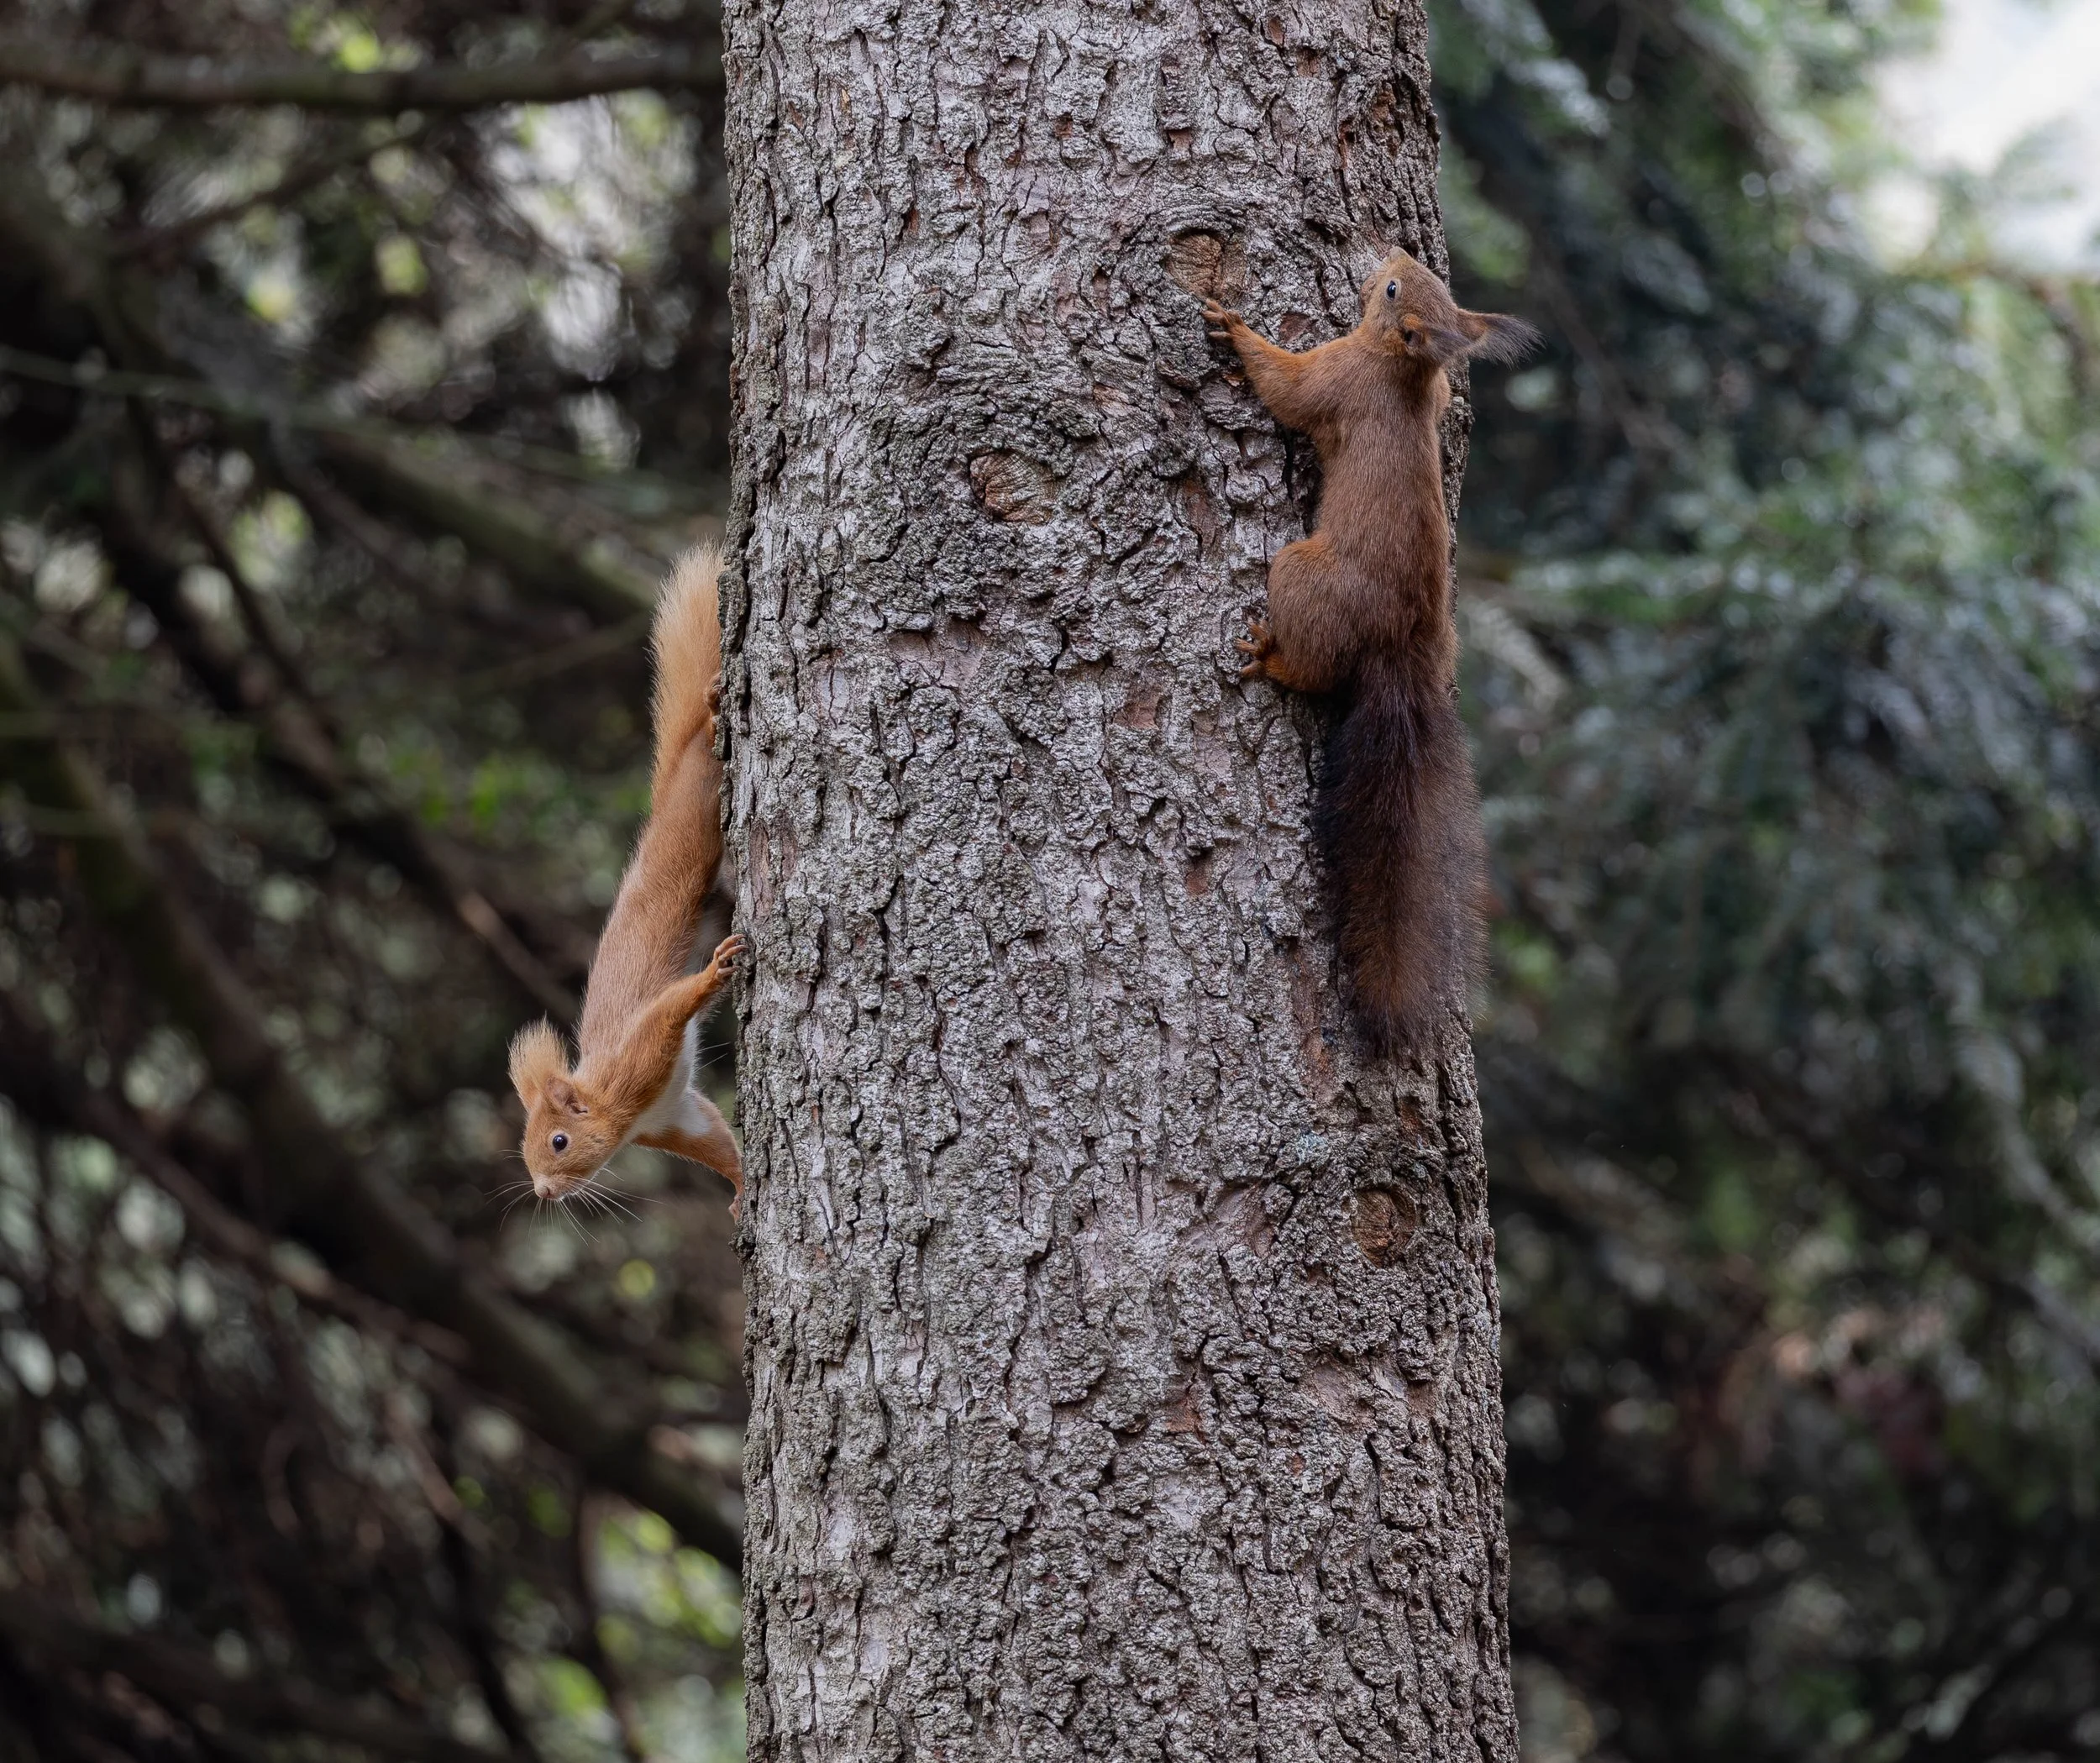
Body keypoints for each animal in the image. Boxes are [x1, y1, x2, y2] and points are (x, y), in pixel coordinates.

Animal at [508, 547, 745, 1205]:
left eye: (559, 1140)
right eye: (526, 1151)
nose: (544, 1192)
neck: (624, 1115)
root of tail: (665, 794)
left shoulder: (639, 1061)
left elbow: (670, 1010)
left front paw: (715, 971)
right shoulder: (675, 1118)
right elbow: (717, 1140)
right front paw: (744, 1190)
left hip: (695, 817)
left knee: (705, 753)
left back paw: (714, 709)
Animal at [1202, 249, 1539, 1050]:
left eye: (1390, 290)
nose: (1389, 252)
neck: (1402, 369)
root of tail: (1400, 648)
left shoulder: (1338, 376)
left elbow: (1289, 388)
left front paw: (1234, 328)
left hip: (1302, 573)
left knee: (1315, 671)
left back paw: (1271, 658)